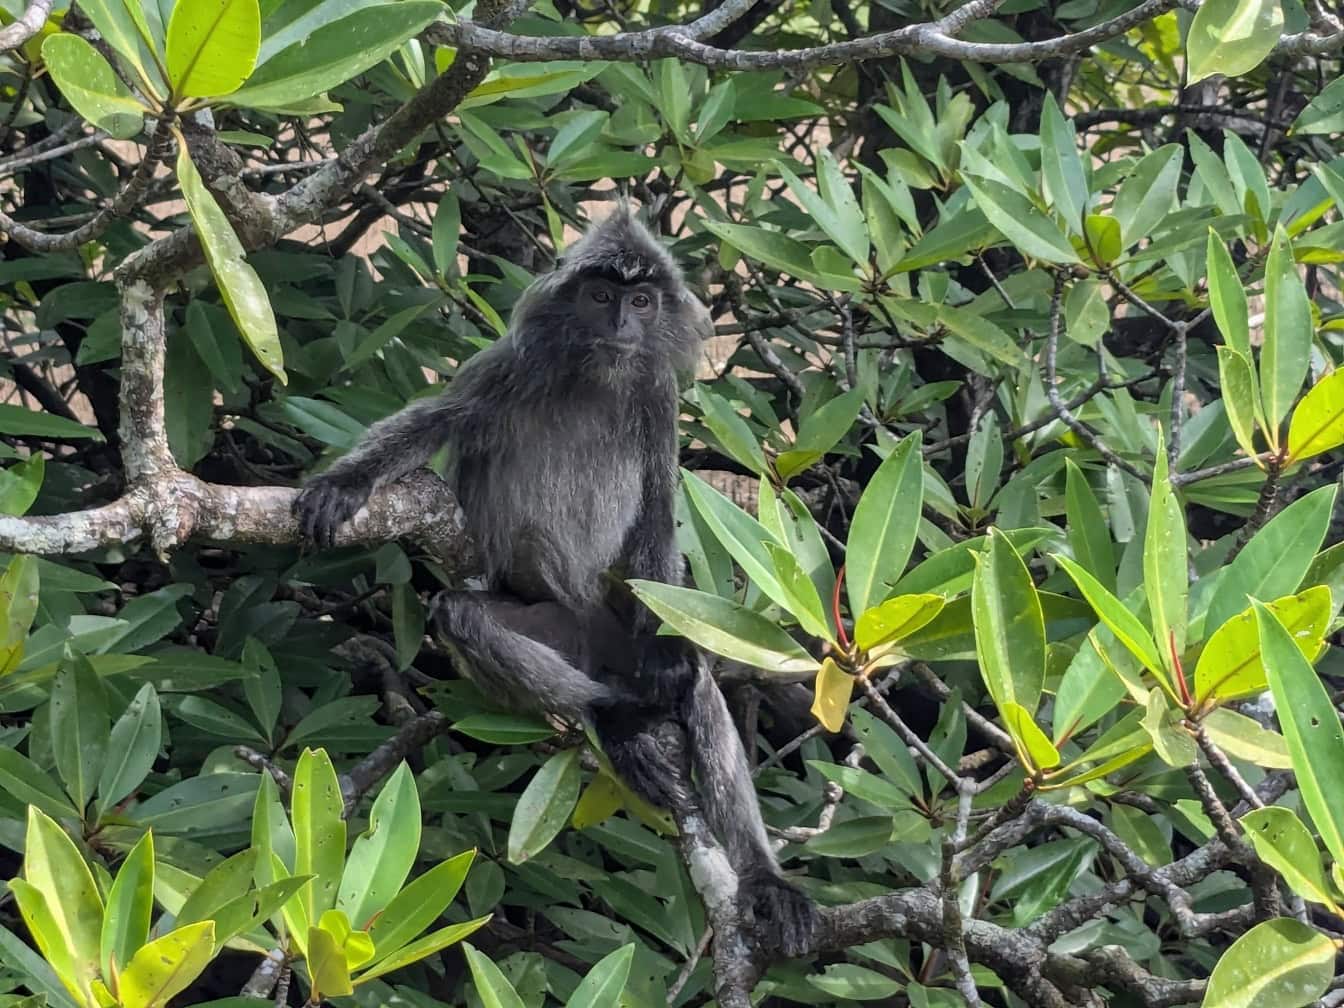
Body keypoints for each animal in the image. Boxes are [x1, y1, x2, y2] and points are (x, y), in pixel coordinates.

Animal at [292, 209, 811, 956]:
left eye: (642, 301)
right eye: (600, 296)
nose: (622, 320)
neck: (597, 375)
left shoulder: (657, 399)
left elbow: (657, 512)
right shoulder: (510, 364)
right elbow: (432, 421)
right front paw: (344, 482)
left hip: (621, 627)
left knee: (691, 677)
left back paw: (764, 877)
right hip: (556, 625)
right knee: (465, 616)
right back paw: (619, 721)